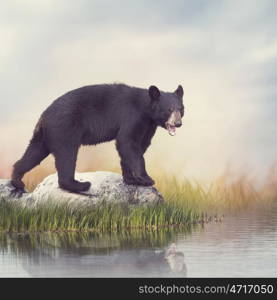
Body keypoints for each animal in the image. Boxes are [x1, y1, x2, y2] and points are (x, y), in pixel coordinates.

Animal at [11, 83, 183, 193]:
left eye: (181, 108)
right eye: (169, 109)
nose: (178, 123)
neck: (146, 110)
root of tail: (43, 116)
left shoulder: (148, 126)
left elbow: (139, 145)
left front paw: (132, 179)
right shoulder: (132, 116)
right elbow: (127, 142)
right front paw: (147, 179)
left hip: (45, 136)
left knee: (33, 153)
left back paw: (17, 180)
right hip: (65, 128)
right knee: (67, 155)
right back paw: (79, 185)